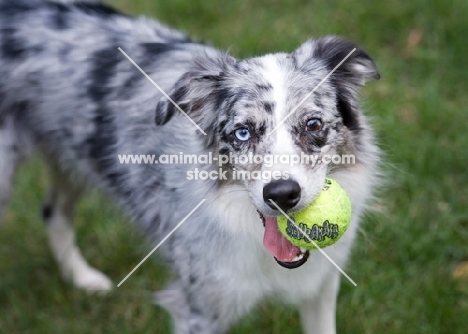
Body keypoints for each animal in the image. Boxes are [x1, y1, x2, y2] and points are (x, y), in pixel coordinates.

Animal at [0, 0, 380, 334]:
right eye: (242, 132)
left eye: (313, 124)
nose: (281, 194)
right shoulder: (199, 310)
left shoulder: (320, 288)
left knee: (53, 212)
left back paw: (83, 279)